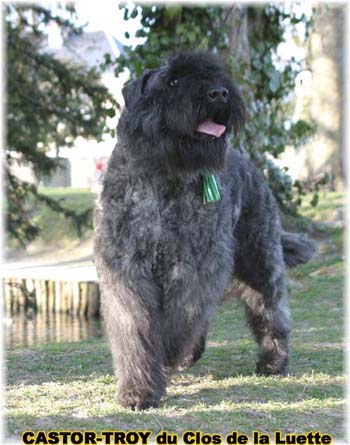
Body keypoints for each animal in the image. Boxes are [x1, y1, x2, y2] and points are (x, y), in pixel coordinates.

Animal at [94, 52, 316, 410]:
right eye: (172, 80)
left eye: (214, 72)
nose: (219, 94)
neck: (162, 176)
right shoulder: (126, 269)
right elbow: (135, 329)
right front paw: (138, 390)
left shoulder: (195, 265)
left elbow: (182, 317)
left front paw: (168, 353)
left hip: (260, 261)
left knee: (271, 312)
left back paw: (273, 361)